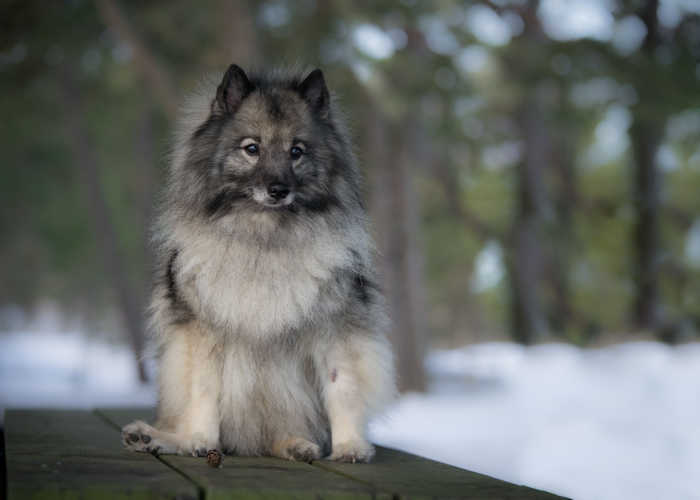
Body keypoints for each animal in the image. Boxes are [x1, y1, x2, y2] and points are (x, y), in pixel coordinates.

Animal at [120, 64, 394, 462]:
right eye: (252, 148)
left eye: (296, 151)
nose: (279, 189)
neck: (265, 238)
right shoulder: (202, 332)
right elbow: (204, 390)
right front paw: (199, 441)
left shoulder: (335, 329)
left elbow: (341, 387)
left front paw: (349, 446)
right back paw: (156, 437)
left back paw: (296, 444)